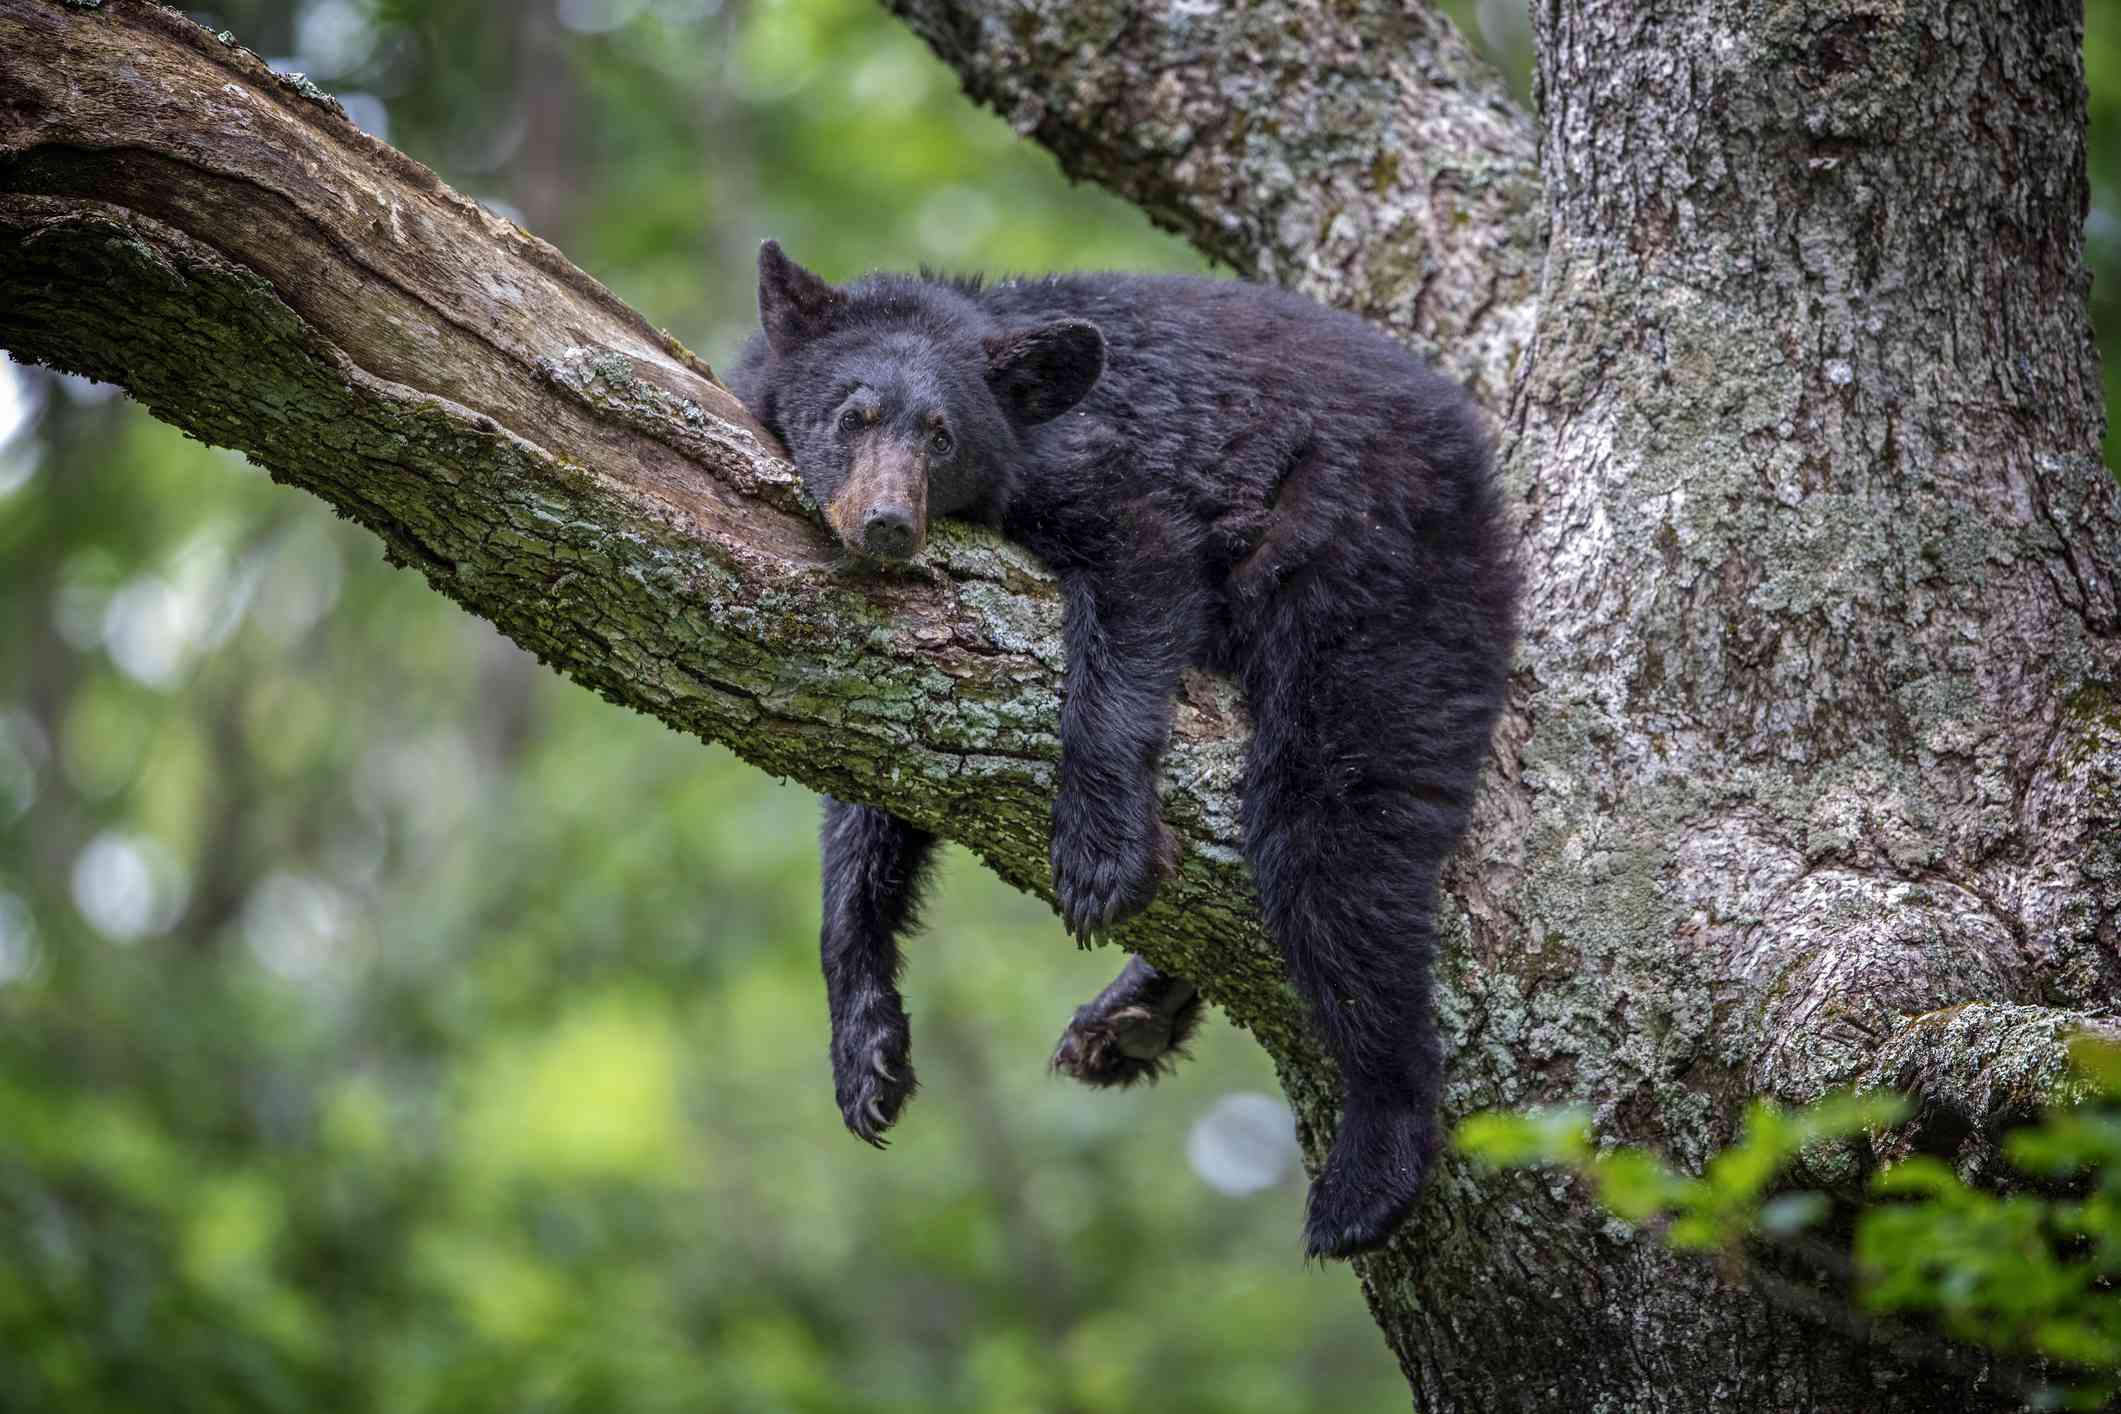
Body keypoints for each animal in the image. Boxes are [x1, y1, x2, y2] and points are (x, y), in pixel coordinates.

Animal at [721, 243, 1518, 1263]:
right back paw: (1132, 1016)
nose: (888, 523)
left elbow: (1142, 577)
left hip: (1376, 564)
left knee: (1334, 840)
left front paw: (1099, 855)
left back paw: (1368, 1169)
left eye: (942, 436)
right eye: (849, 415)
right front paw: (865, 1049)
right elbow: (875, 788)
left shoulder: (1099, 468)